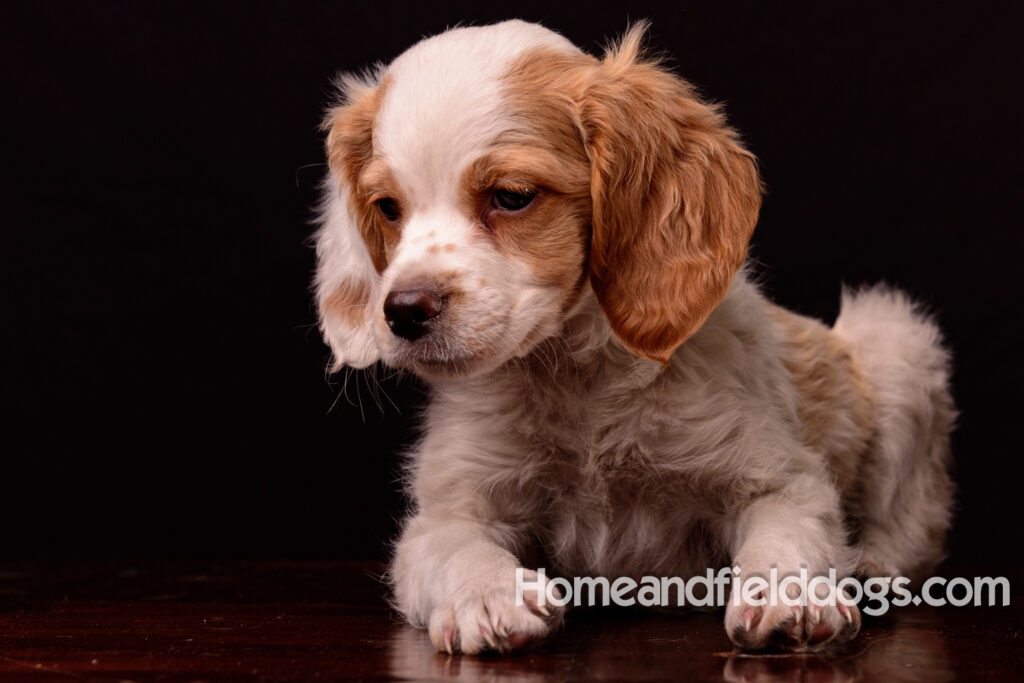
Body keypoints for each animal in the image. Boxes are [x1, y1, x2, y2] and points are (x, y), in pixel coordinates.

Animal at [315, 18, 954, 655]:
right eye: (388, 208)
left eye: (512, 196)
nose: (404, 312)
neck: (579, 377)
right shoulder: (448, 512)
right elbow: (456, 550)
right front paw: (488, 595)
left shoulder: (778, 478)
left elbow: (787, 536)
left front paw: (790, 597)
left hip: (894, 341)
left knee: (911, 527)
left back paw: (873, 565)